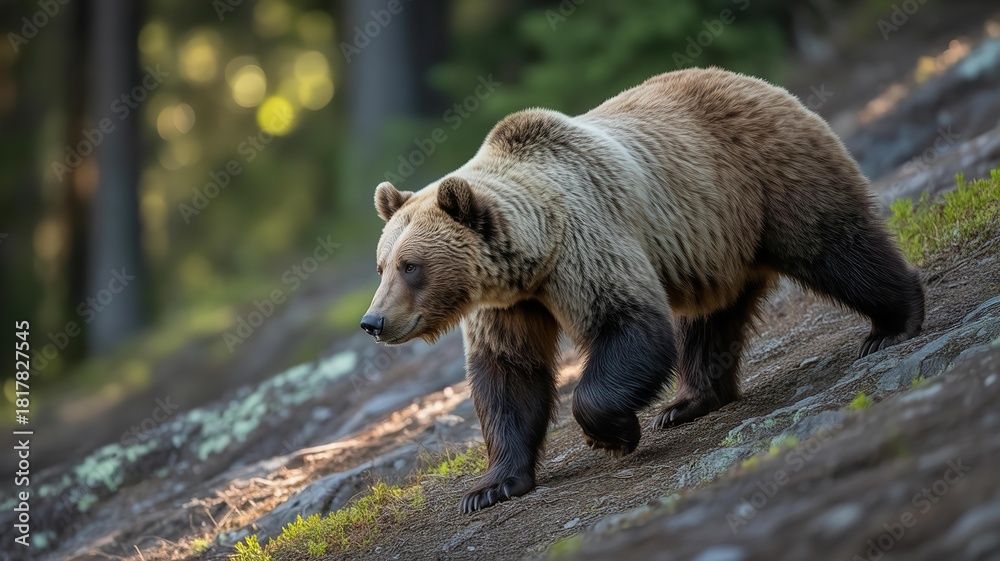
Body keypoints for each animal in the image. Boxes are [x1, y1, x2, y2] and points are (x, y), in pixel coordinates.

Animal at [361, 67, 925, 513]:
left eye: (411, 266)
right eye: (381, 265)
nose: (373, 322)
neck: (535, 253)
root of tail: (755, 81)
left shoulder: (585, 241)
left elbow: (629, 324)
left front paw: (613, 433)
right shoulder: (509, 303)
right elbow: (508, 374)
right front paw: (491, 487)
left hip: (768, 177)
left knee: (835, 245)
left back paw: (895, 322)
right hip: (713, 243)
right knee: (711, 315)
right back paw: (691, 400)